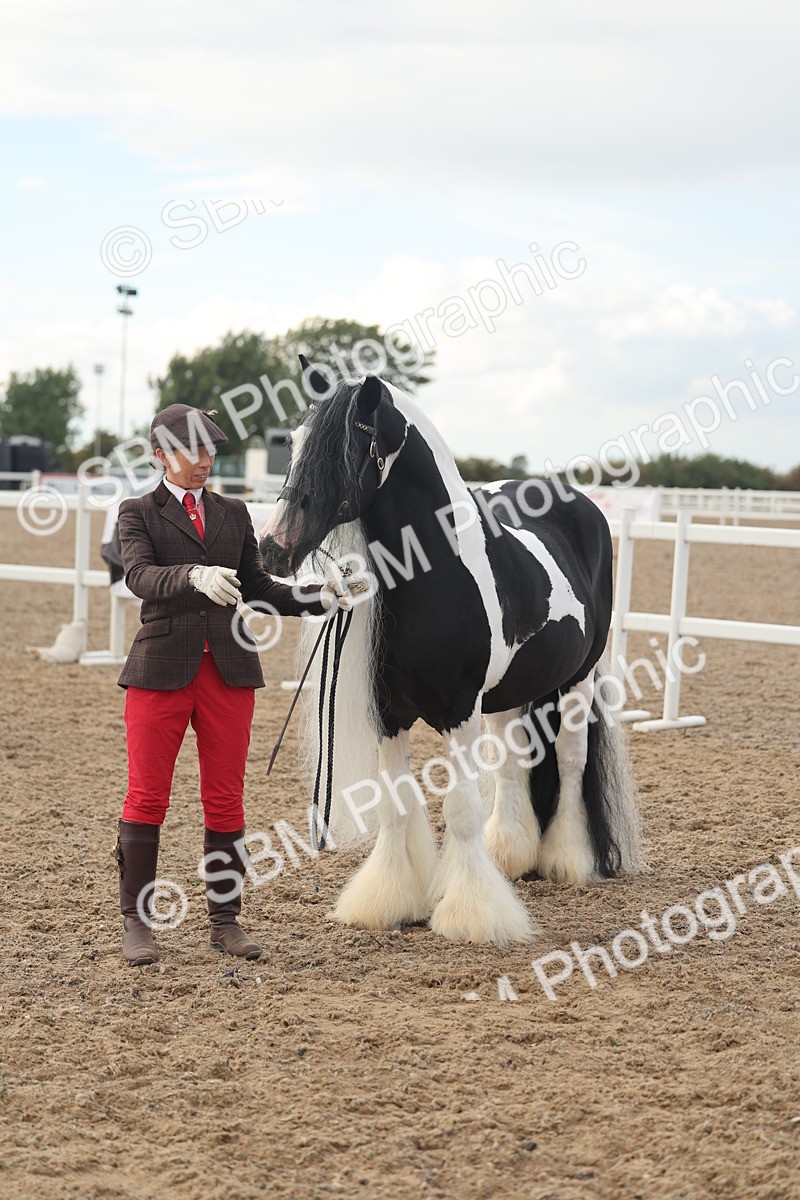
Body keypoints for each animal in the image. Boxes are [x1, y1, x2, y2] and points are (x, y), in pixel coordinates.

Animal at [259, 368, 643, 945]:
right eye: (295, 442)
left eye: (347, 450)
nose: (272, 547)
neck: (437, 573)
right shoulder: (389, 714)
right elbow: (395, 805)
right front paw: (388, 900)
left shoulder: (460, 711)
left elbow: (460, 809)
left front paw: (472, 915)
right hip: (510, 693)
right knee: (514, 761)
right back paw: (510, 854)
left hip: (578, 679)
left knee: (570, 761)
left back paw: (568, 861)